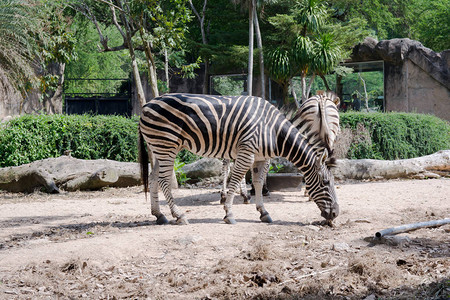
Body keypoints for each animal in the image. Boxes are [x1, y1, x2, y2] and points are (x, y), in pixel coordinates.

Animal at [139, 94, 340, 225]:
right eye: (326, 182)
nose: (336, 214)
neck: (273, 131)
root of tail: (147, 104)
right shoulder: (247, 152)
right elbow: (235, 181)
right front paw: (229, 214)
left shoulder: (260, 158)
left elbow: (257, 182)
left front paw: (263, 212)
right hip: (167, 145)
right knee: (164, 180)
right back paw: (178, 215)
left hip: (158, 147)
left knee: (153, 178)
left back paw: (159, 215)